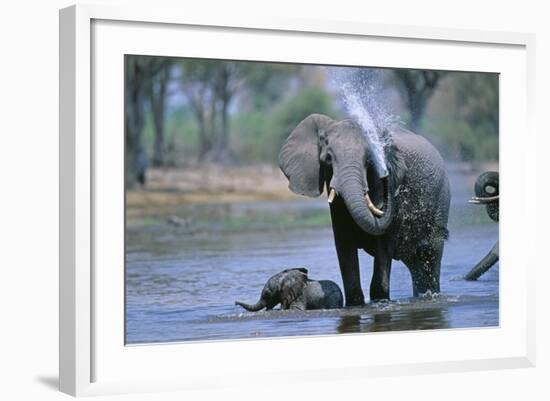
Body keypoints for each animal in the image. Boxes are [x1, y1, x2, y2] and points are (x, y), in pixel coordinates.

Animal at [278, 112, 450, 304]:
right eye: (328, 159)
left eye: (369, 160)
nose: (388, 176)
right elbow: (344, 246)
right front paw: (355, 303)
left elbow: (383, 245)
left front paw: (380, 301)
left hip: (441, 200)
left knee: (428, 254)